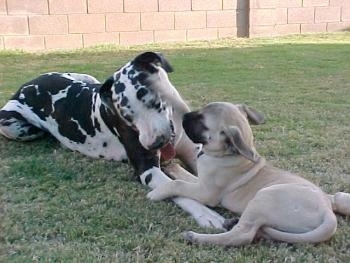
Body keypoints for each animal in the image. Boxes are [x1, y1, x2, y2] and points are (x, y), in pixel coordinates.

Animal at [0, 51, 224, 229]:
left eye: (150, 98)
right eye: (126, 115)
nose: (154, 144)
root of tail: (24, 86)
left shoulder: (192, 152)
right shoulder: (147, 170)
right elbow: (174, 189)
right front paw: (206, 214)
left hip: (86, 77)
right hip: (16, 127)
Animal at [146, 102, 350, 246]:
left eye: (202, 122)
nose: (181, 116)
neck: (228, 154)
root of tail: (328, 212)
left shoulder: (206, 192)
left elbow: (177, 184)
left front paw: (156, 193)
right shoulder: (201, 181)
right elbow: (184, 177)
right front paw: (172, 168)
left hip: (263, 197)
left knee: (242, 235)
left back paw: (195, 237)